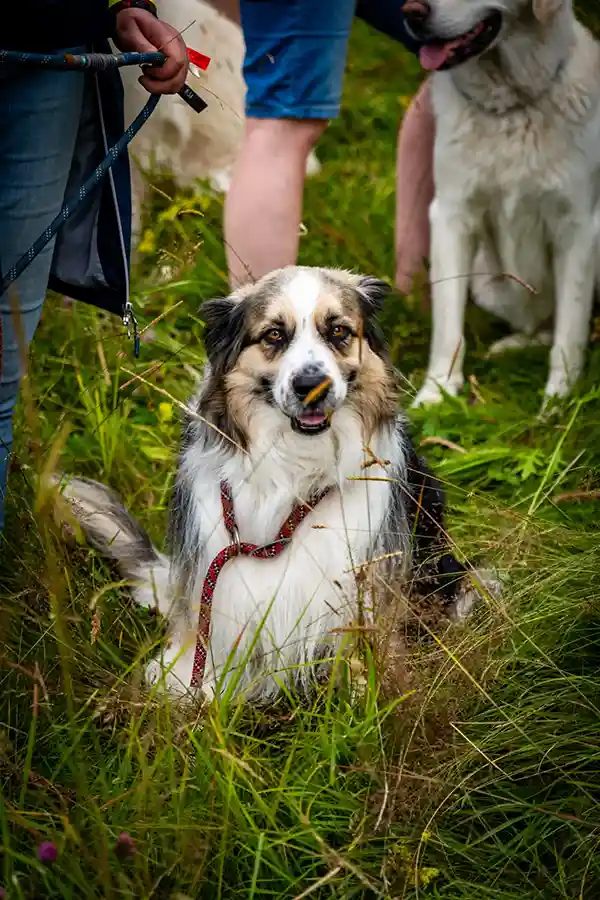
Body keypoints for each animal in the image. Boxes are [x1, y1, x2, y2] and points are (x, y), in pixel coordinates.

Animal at [55, 268, 488, 704]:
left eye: (338, 331)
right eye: (274, 335)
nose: (310, 385)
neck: (294, 467)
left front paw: (367, 690)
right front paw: (191, 680)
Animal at [408, 0, 600, 404]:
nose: (411, 13)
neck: (512, 104)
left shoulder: (578, 226)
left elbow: (571, 330)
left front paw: (560, 401)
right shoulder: (451, 215)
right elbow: (448, 325)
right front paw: (437, 394)